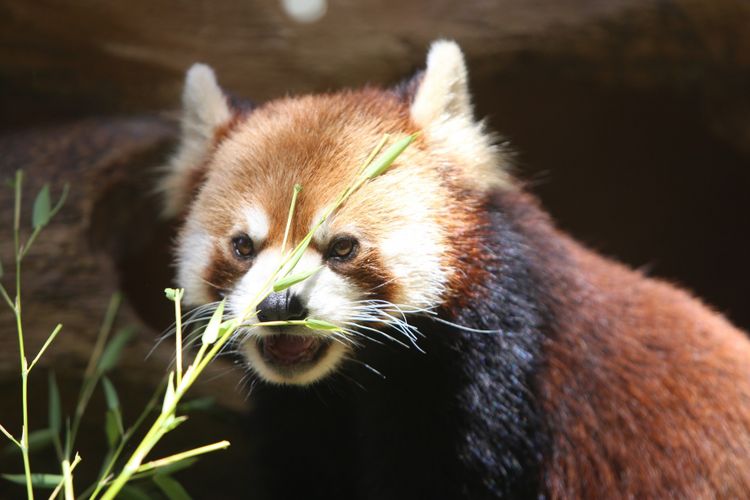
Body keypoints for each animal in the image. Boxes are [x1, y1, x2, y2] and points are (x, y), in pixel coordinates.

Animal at [159, 41, 750, 498]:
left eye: (343, 248)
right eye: (243, 246)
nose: (279, 305)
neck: (355, 382)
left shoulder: (487, 386)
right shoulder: (302, 415)